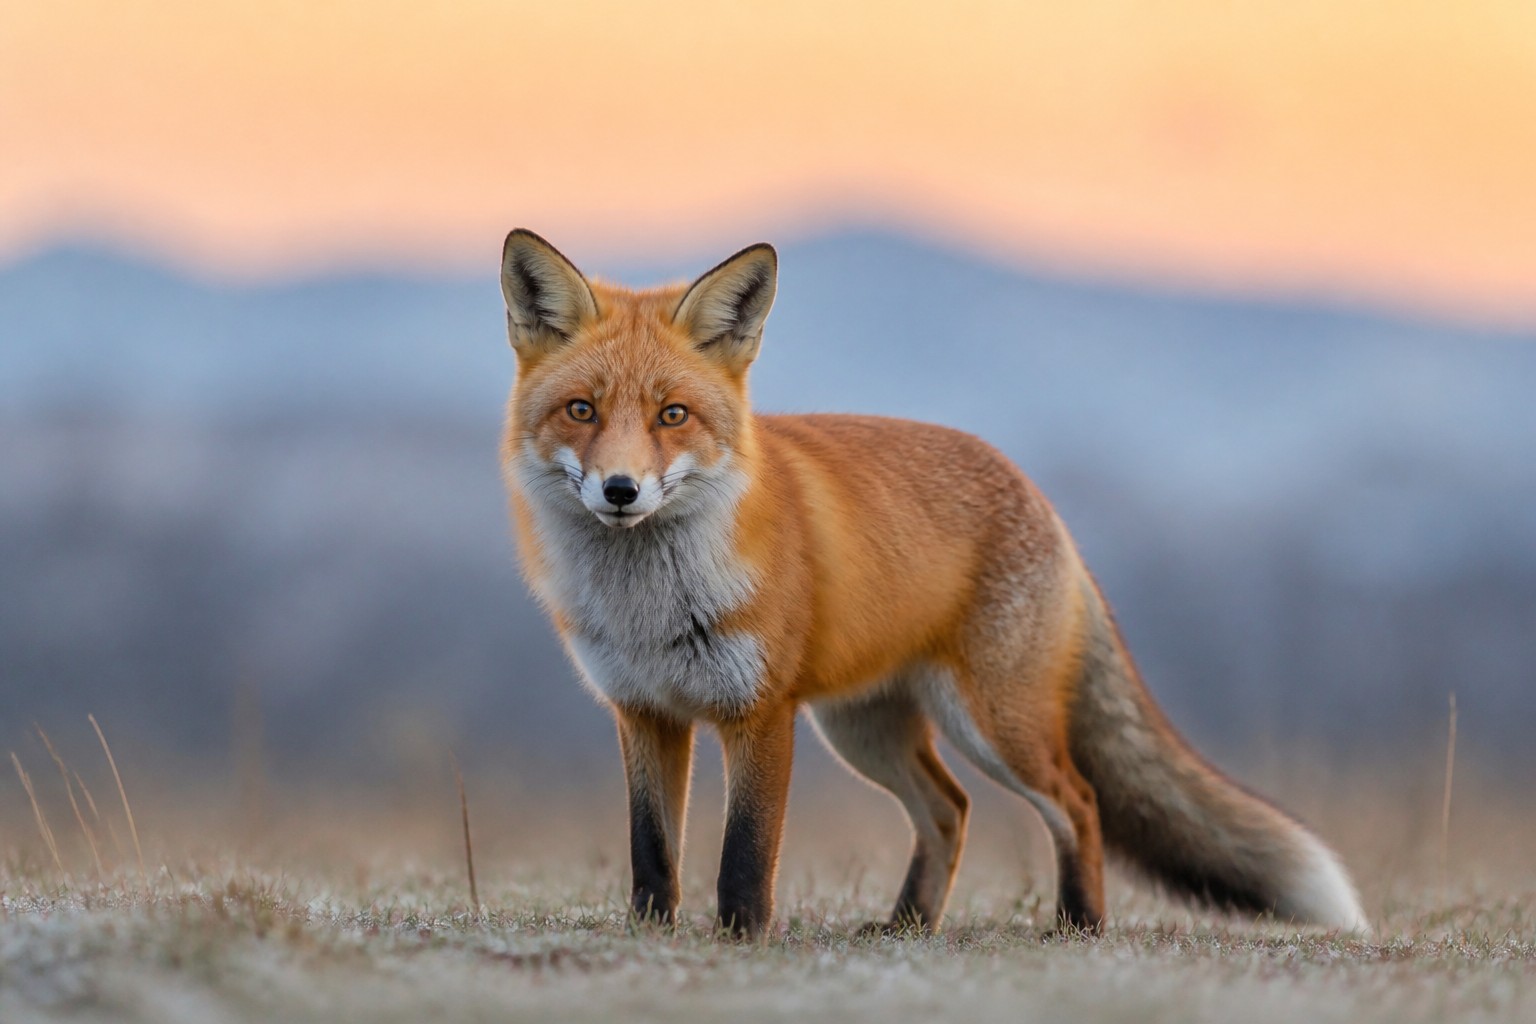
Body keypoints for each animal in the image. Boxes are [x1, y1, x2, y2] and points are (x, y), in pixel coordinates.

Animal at [497, 228, 1369, 939]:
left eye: (672, 416)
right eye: (582, 410)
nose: (620, 490)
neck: (648, 602)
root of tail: (1039, 497)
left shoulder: (761, 713)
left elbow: (746, 851)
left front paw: (742, 939)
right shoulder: (644, 712)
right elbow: (651, 851)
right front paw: (650, 935)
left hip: (993, 724)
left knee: (1078, 802)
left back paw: (1078, 926)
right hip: (867, 730)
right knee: (950, 809)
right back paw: (909, 923)